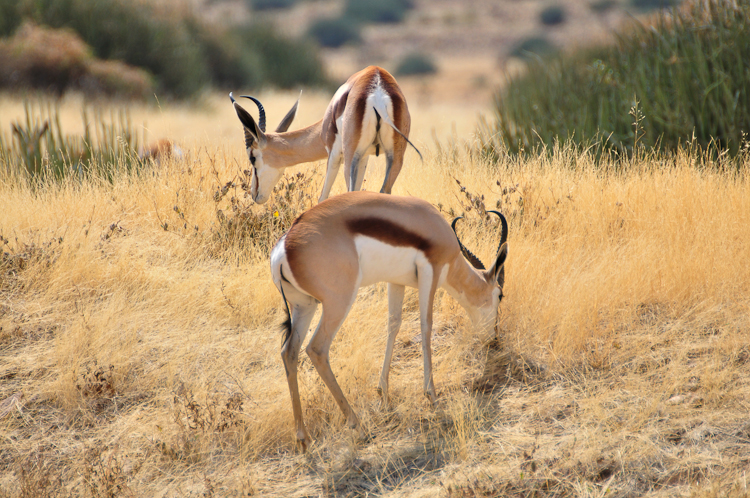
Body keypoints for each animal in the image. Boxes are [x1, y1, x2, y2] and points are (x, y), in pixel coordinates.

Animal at [229, 65, 424, 203]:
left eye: (252, 157)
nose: (255, 194)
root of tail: (378, 89)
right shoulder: (365, 156)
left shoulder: (334, 154)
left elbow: (322, 197)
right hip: (395, 156)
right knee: (384, 191)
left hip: (350, 157)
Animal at [270, 192, 512, 452]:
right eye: (500, 295)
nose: (494, 338)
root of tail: (285, 247)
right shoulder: (431, 271)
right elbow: (426, 326)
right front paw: (432, 398)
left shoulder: (396, 281)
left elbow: (393, 324)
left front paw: (383, 393)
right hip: (338, 302)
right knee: (317, 349)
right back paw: (359, 428)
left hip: (304, 306)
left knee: (289, 352)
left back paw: (303, 438)